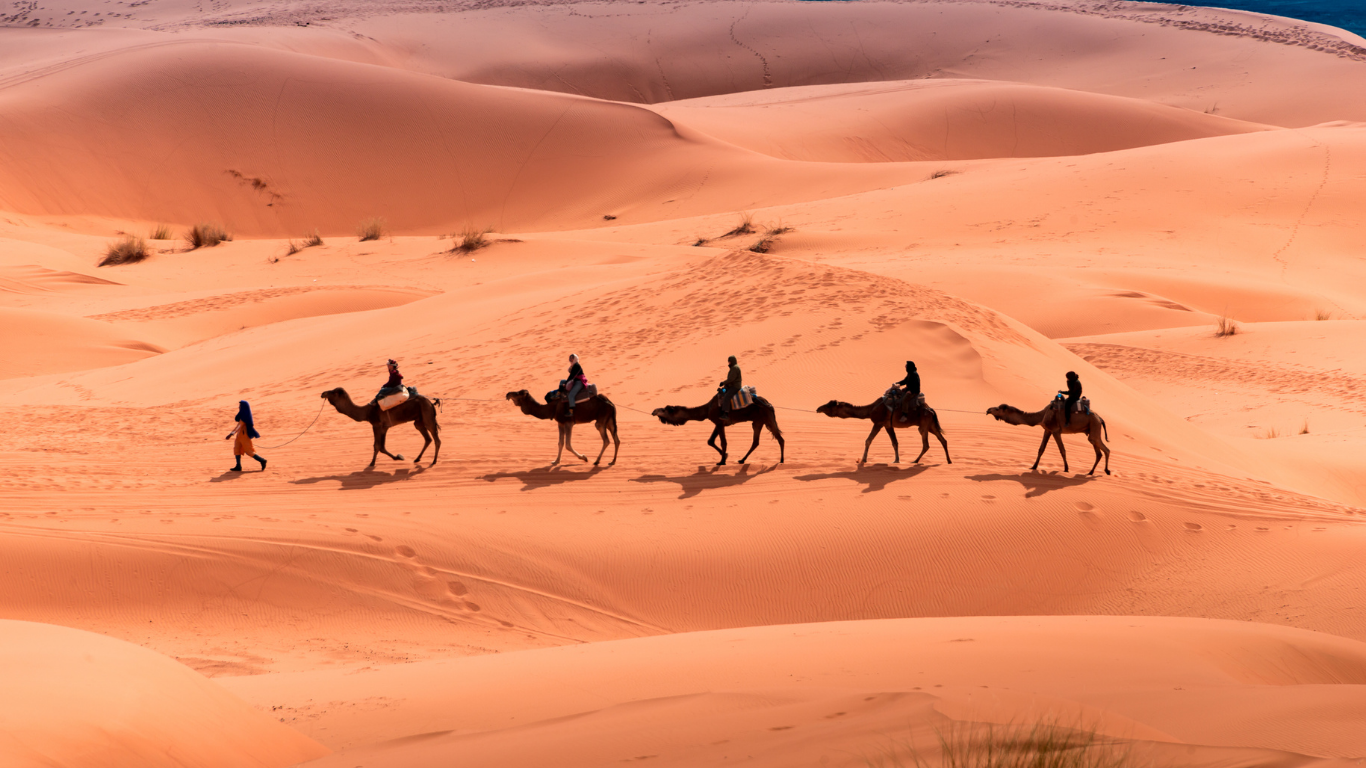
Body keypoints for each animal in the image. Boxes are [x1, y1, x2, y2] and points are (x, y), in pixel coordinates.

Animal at [652, 390, 786, 464]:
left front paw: (722, 462)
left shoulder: (720, 422)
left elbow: (723, 442)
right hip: (758, 421)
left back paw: (781, 460)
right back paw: (742, 460)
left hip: (767, 417)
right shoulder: (718, 423)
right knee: (756, 441)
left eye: (664, 410)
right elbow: (710, 441)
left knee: (779, 438)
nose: (654, 411)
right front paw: (725, 456)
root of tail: (769, 404)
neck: (707, 409)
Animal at [819, 396, 950, 464]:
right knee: (943, 440)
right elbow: (894, 442)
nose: (818, 408)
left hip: (924, 425)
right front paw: (897, 459)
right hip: (931, 425)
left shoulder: (879, 423)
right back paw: (949, 461)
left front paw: (864, 459)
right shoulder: (888, 425)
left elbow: (868, 440)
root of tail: (930, 409)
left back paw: (915, 461)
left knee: (926, 444)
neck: (871, 409)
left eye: (829, 405)